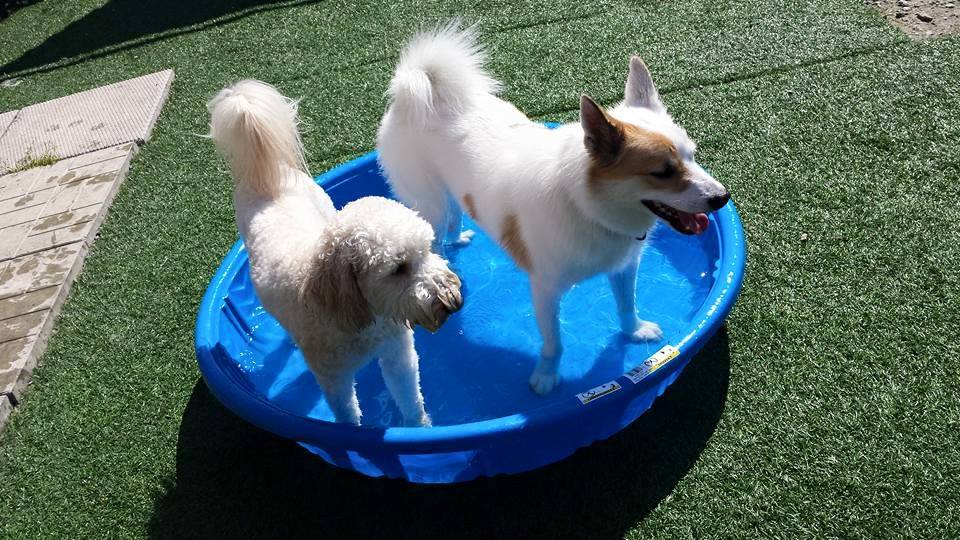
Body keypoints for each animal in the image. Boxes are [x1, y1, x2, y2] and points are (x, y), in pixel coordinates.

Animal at [209, 80, 462, 426]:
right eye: (398, 268)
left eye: (427, 251)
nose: (452, 300)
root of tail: (270, 175)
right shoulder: (333, 378)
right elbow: (347, 415)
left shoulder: (398, 353)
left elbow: (411, 399)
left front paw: (419, 430)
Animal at [376, 24, 728, 396]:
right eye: (662, 172)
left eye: (692, 155)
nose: (722, 197)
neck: (585, 206)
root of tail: (415, 87)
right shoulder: (544, 289)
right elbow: (554, 342)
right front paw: (546, 376)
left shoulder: (624, 266)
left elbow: (626, 303)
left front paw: (634, 331)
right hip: (428, 202)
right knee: (435, 233)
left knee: (454, 217)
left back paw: (458, 240)